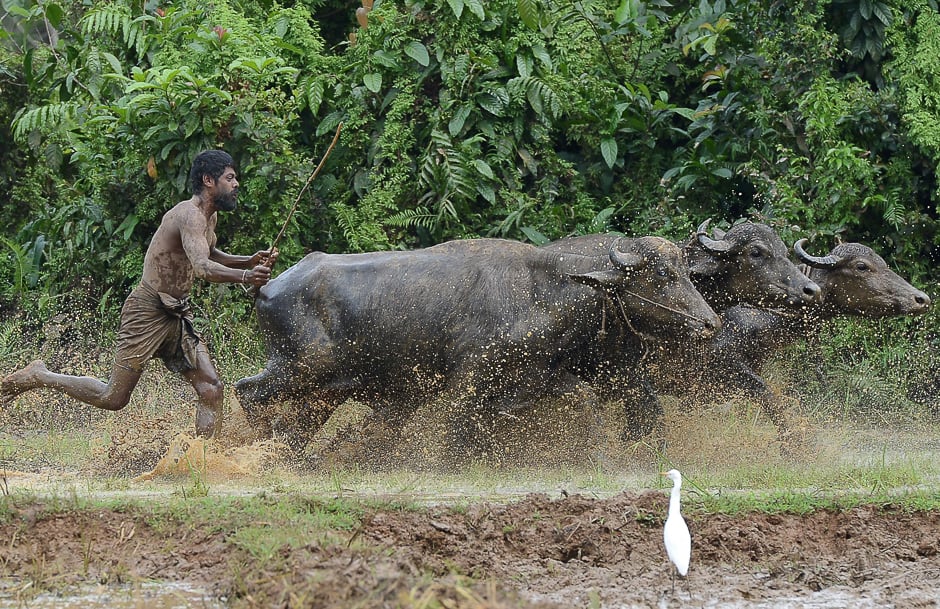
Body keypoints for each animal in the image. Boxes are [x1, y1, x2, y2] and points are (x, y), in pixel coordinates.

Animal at [237, 235, 720, 458]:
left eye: (686, 270)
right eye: (661, 276)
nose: (710, 323)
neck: (538, 291)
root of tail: (267, 286)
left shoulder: (536, 377)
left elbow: (584, 400)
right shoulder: (468, 379)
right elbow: (456, 427)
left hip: (322, 392)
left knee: (294, 425)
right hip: (297, 368)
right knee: (247, 391)